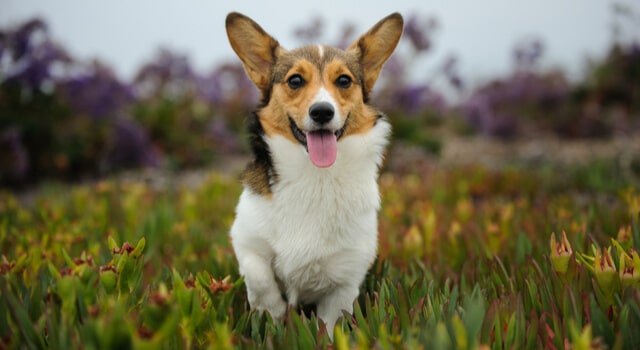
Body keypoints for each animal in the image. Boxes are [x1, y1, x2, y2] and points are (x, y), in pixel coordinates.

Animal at [228, 12, 402, 338]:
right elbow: (260, 279)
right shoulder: (246, 241)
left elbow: (330, 324)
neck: (315, 177)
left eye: (344, 80)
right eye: (295, 80)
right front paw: (274, 315)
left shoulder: (345, 278)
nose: (322, 111)